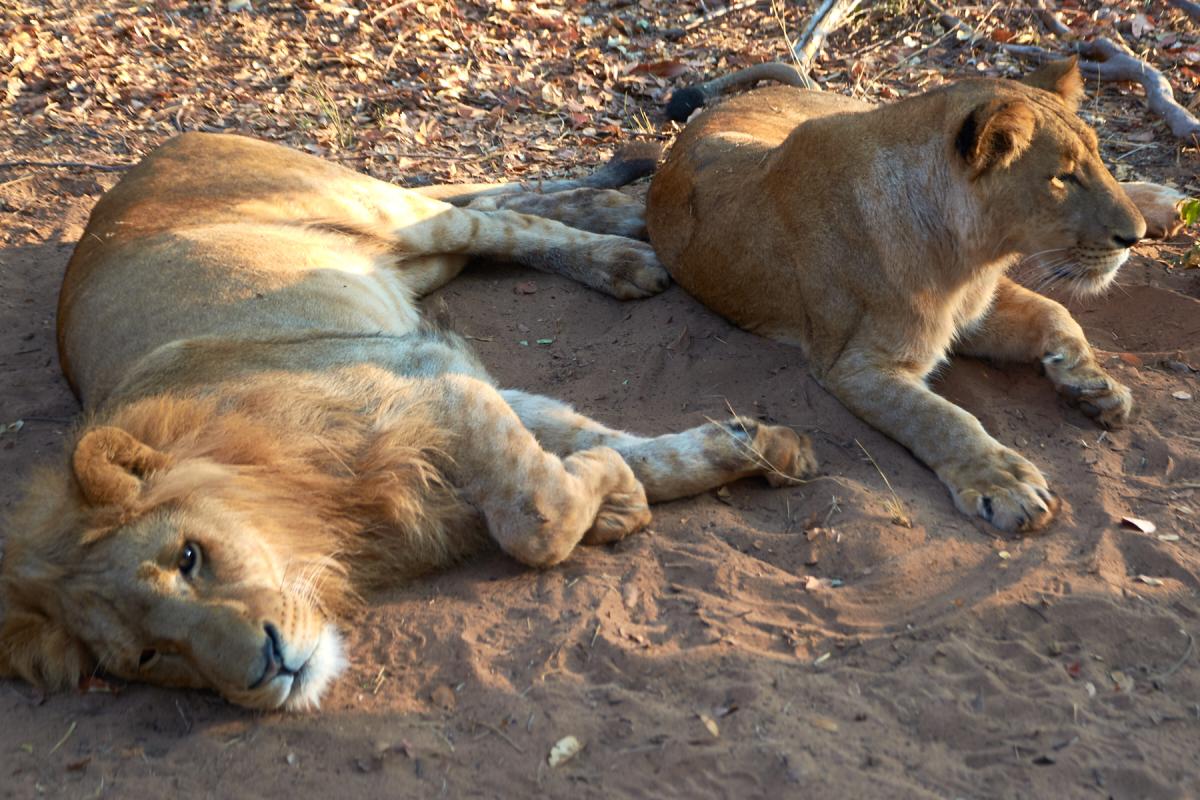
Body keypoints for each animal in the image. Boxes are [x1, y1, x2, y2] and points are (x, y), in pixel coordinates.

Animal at [0, 132, 816, 711]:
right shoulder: (445, 379)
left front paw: (616, 489)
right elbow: (602, 455)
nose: (266, 670)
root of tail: (149, 157)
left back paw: (625, 252)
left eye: (189, 557)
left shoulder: (426, 374)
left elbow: (536, 515)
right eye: (148, 656)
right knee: (494, 206)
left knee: (496, 221)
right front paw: (732, 454)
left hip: (385, 214)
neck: (307, 520)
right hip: (407, 264)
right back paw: (619, 217)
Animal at [647, 59, 1185, 533]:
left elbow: (1054, 313)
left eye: (1098, 158)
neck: (968, 259)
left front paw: (1094, 385)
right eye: (1061, 176)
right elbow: (941, 417)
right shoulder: (853, 365)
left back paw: (1166, 203)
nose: (1134, 237)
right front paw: (1004, 482)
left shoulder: (977, 308)